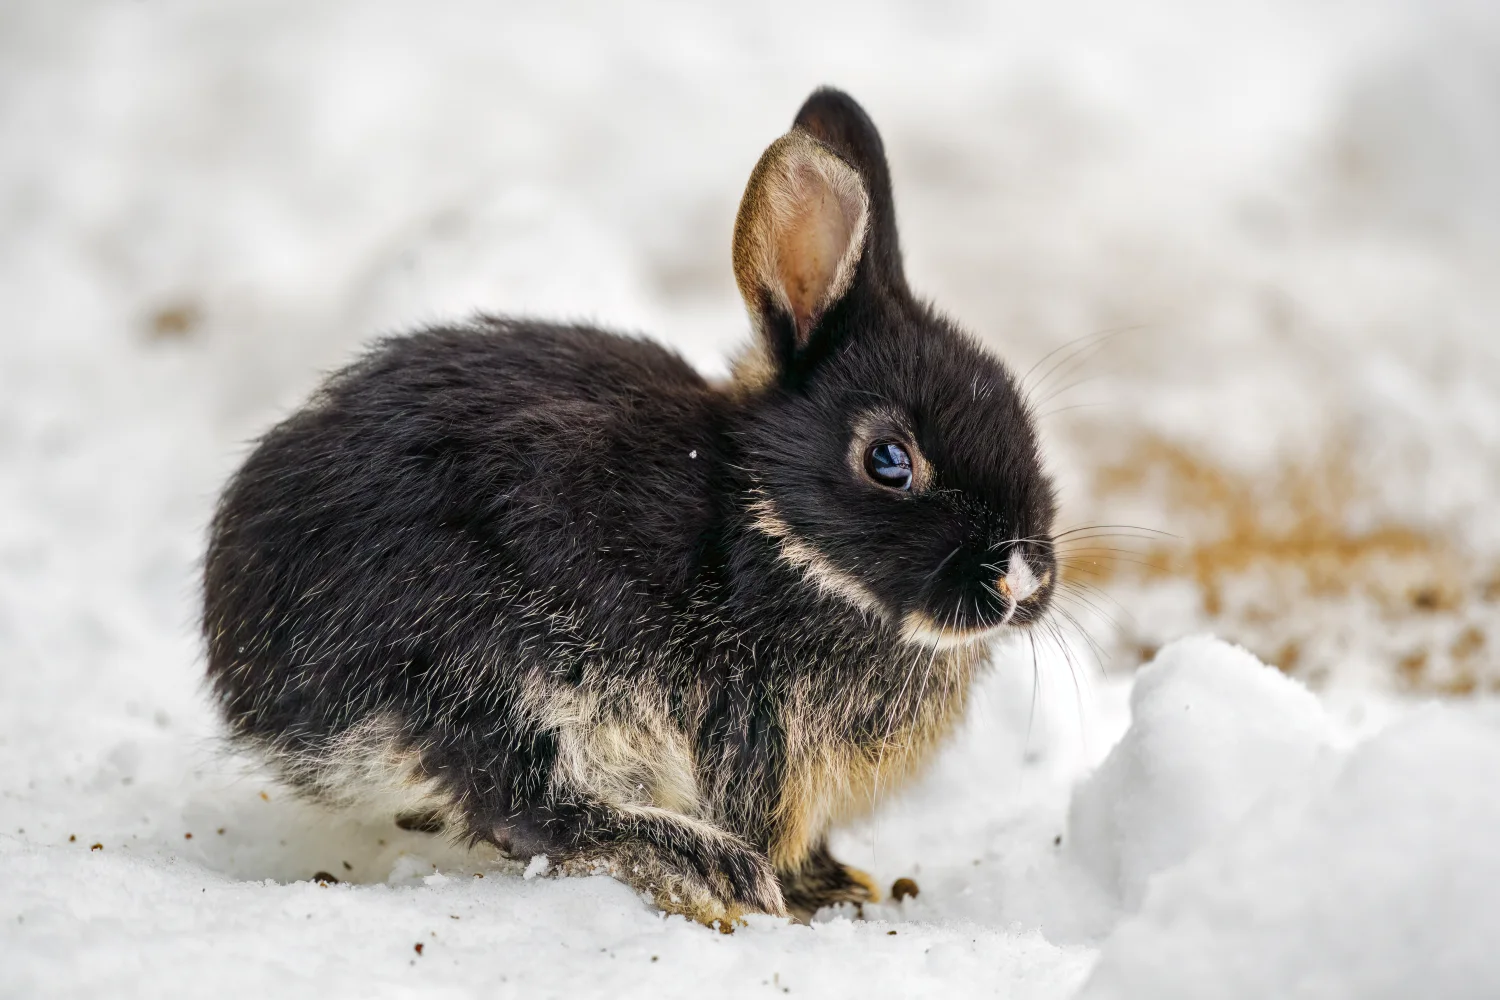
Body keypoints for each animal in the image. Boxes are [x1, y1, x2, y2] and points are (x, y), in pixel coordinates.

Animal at [203, 87, 1058, 928]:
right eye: (889, 461)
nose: (1021, 578)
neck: (768, 527)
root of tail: (253, 671)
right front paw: (805, 890)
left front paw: (839, 882)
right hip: (485, 662)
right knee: (532, 807)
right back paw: (706, 868)